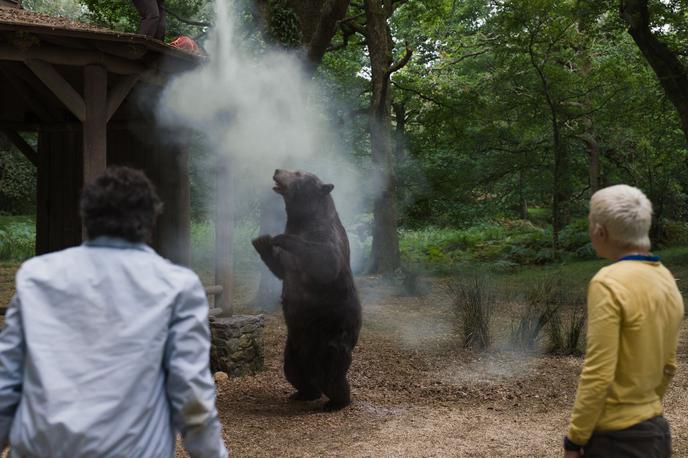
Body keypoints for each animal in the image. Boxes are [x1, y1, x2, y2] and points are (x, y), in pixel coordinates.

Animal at [251, 169, 360, 412]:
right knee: (293, 370)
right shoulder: (289, 262)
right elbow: (281, 268)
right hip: (293, 345)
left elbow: (325, 261)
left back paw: (336, 402)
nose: (277, 171)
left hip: (331, 336)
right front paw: (262, 241)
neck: (303, 219)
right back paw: (303, 393)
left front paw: (278, 237)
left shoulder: (325, 237)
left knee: (333, 373)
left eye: (298, 172)